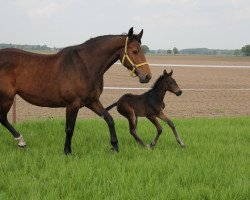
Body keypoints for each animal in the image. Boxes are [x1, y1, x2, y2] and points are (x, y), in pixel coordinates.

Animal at [0, 27, 151, 154]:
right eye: (135, 51)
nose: (147, 76)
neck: (84, 66)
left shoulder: (92, 102)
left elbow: (109, 119)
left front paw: (115, 147)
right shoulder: (72, 104)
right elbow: (69, 129)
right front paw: (67, 151)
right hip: (6, 98)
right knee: (3, 118)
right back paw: (21, 141)